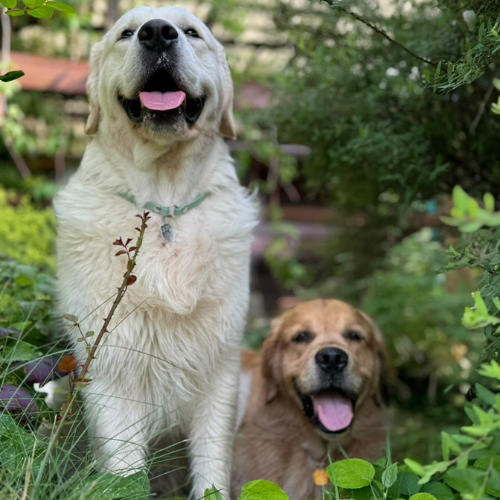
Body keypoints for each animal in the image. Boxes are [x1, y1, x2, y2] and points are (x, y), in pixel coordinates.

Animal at [54, 6, 258, 496]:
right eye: (127, 33)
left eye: (191, 32)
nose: (158, 34)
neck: (164, 205)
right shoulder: (111, 368)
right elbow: (125, 470)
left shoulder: (220, 370)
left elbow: (212, 464)